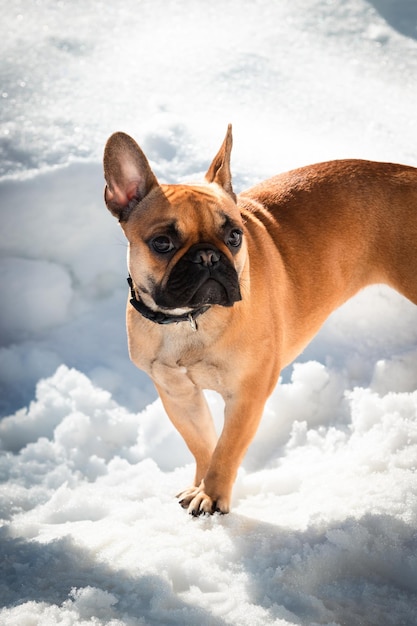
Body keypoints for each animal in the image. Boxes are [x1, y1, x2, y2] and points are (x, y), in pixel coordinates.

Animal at [103, 124, 416, 516]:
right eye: (162, 243)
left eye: (234, 236)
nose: (208, 257)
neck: (189, 321)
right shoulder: (178, 395)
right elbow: (203, 443)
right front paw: (199, 485)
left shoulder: (247, 395)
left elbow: (227, 448)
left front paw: (212, 495)